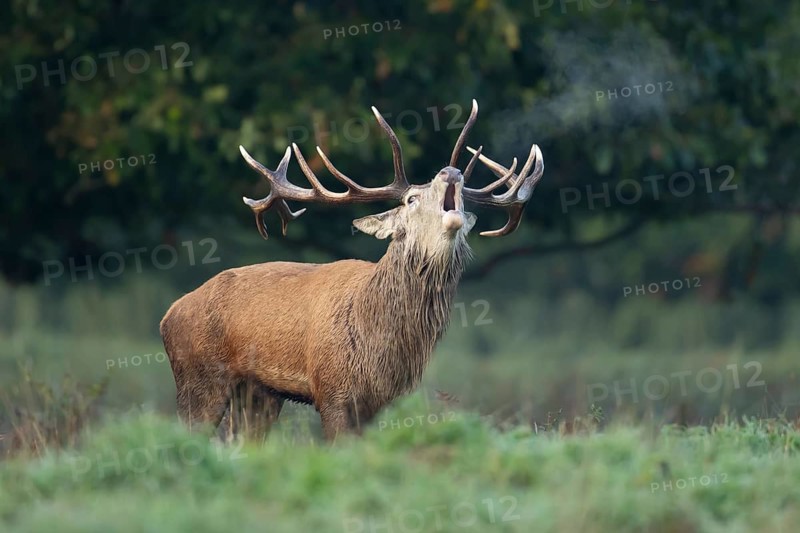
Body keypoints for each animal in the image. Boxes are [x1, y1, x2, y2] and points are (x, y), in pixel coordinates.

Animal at [159, 100, 544, 441]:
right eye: (411, 200)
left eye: (461, 196)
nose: (452, 172)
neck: (379, 345)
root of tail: (168, 316)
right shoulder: (332, 391)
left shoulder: (383, 402)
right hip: (198, 377)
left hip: (258, 392)